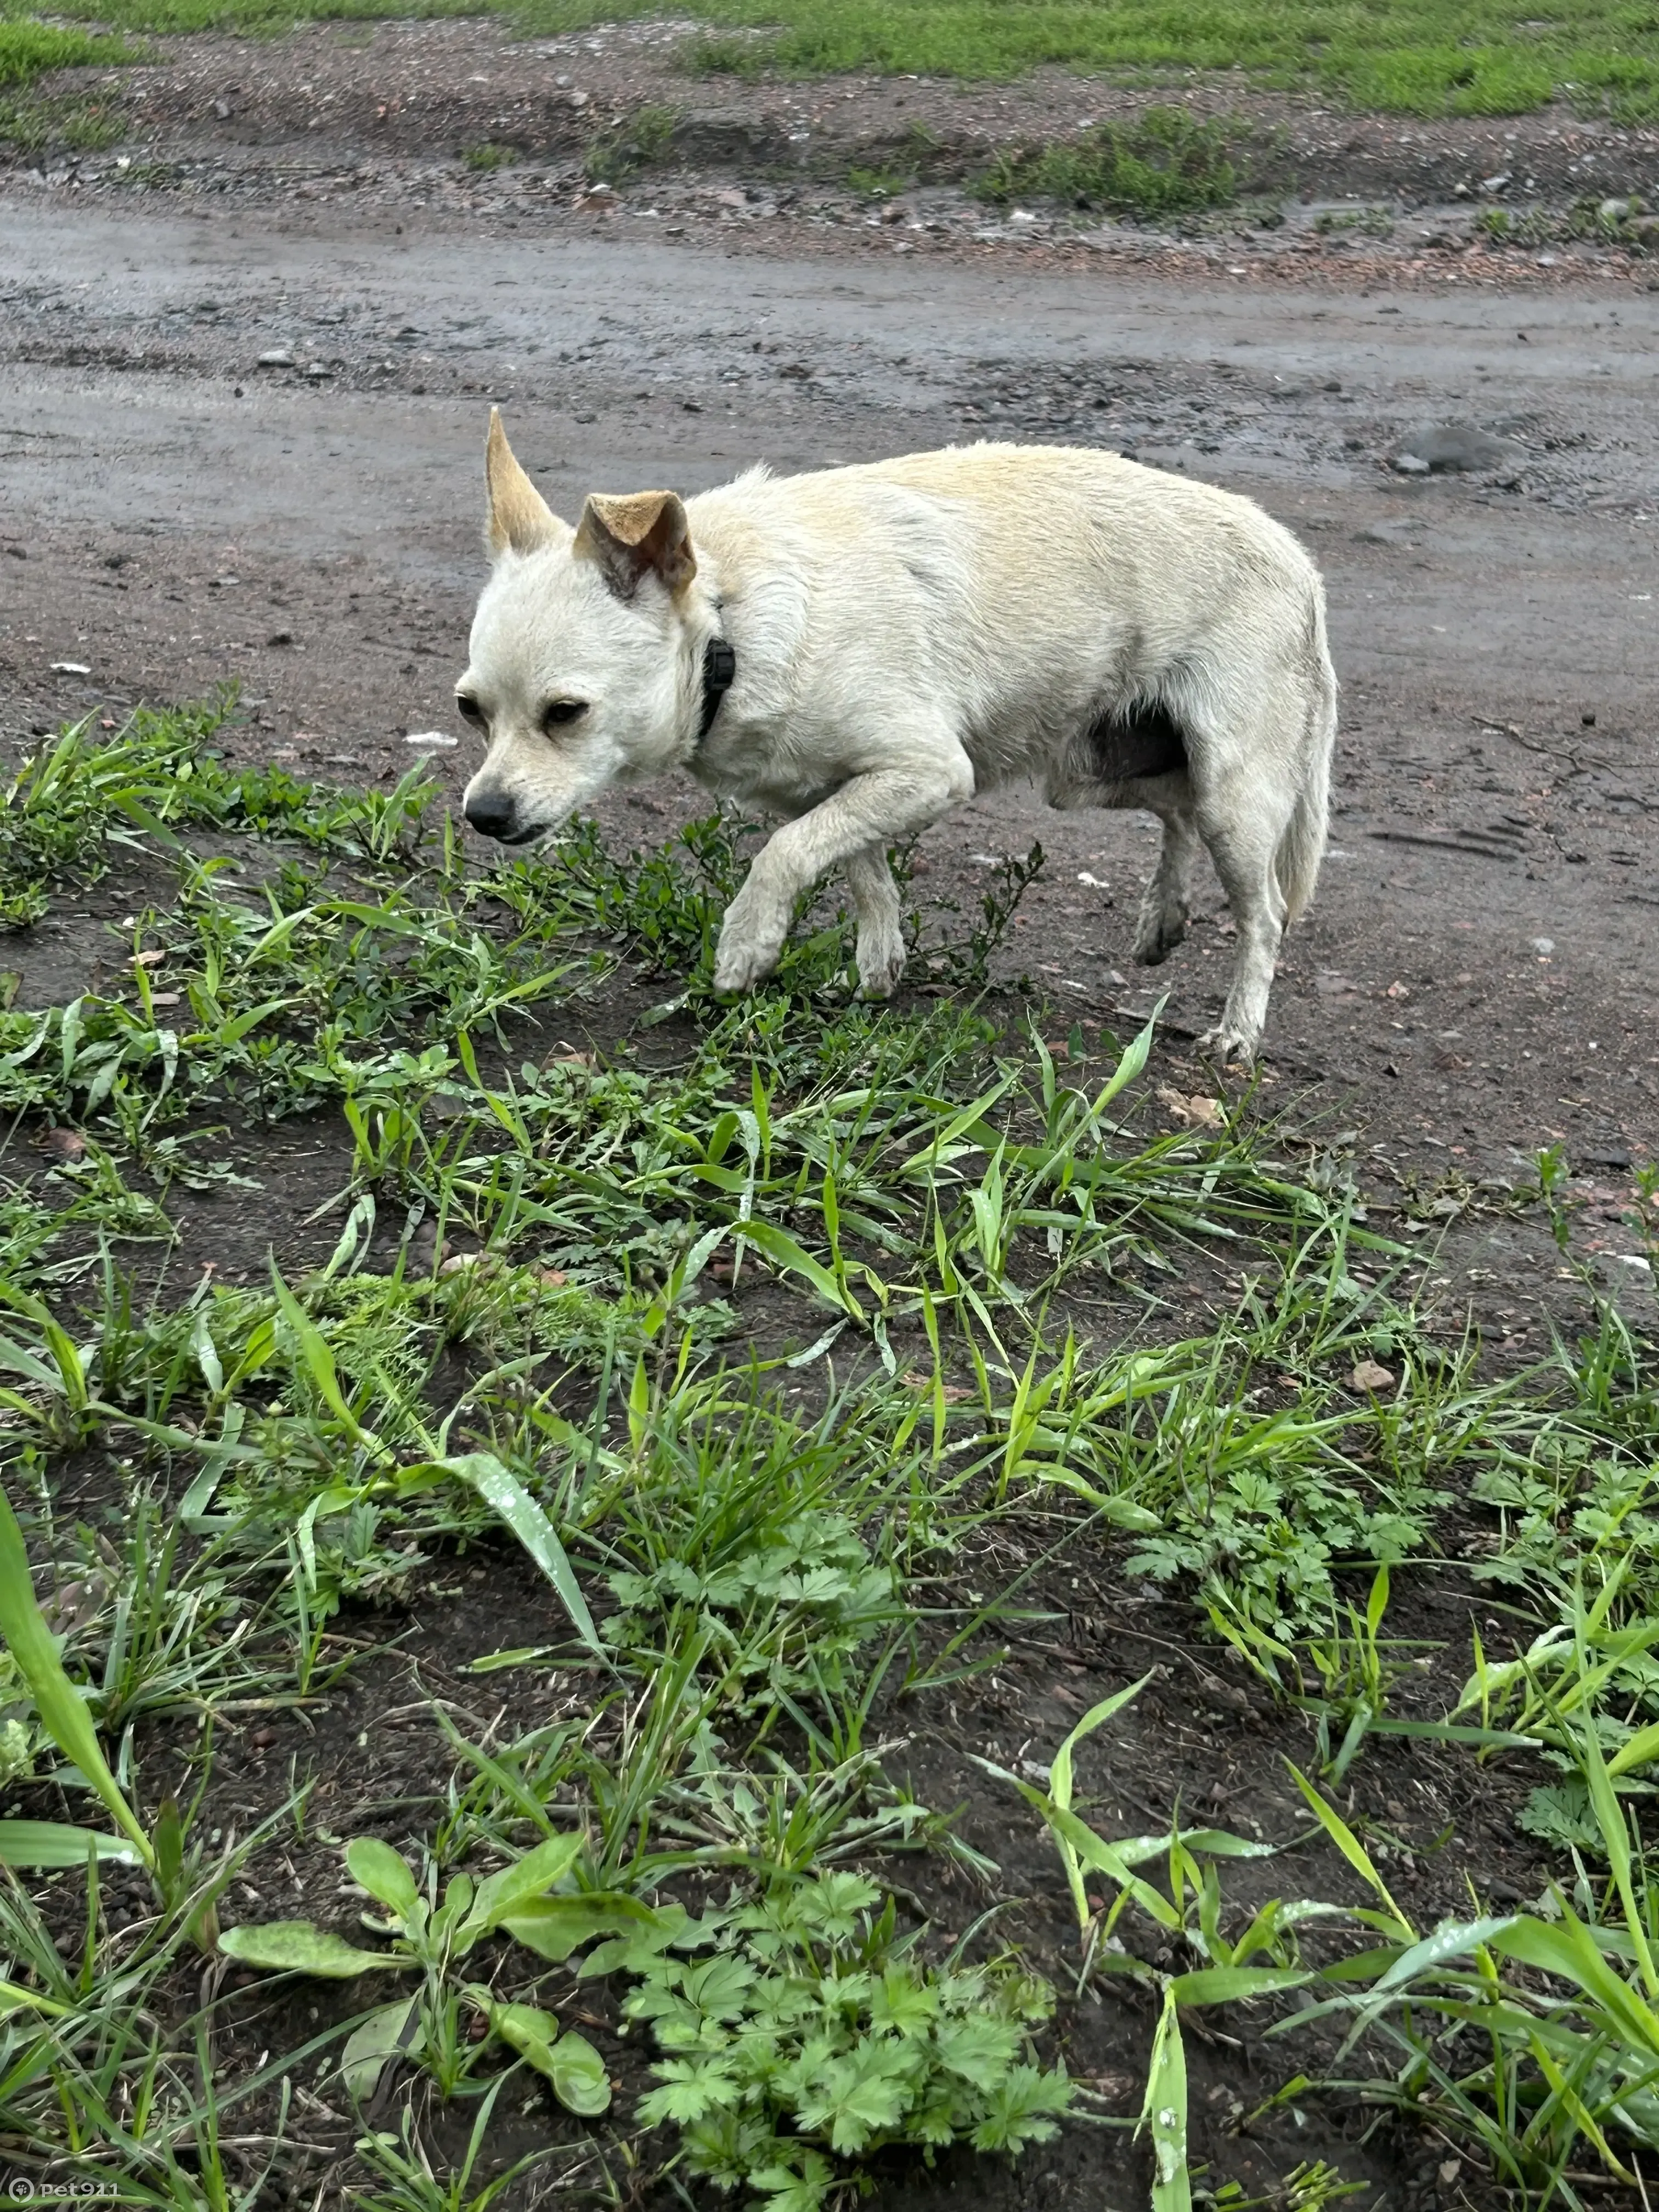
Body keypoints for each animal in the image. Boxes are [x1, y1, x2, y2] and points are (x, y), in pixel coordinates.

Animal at [455, 425, 1336, 1070]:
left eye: (566, 713)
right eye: (471, 712)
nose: (483, 814)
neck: (728, 627)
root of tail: (1300, 562)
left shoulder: (928, 772)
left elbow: (783, 852)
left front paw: (747, 943)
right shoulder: (843, 788)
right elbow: (856, 866)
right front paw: (879, 966)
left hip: (1232, 794)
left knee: (1262, 914)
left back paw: (1239, 1030)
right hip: (1094, 769)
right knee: (1175, 811)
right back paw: (1164, 917)